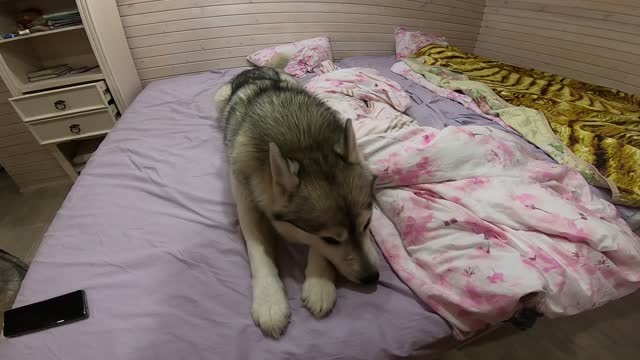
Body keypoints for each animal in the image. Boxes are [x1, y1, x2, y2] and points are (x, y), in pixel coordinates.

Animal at [215, 67, 378, 338]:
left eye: (367, 225)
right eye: (331, 239)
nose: (372, 278)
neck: (303, 145)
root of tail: (254, 69)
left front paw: (319, 282)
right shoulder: (247, 202)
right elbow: (258, 251)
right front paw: (270, 300)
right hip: (218, 100)